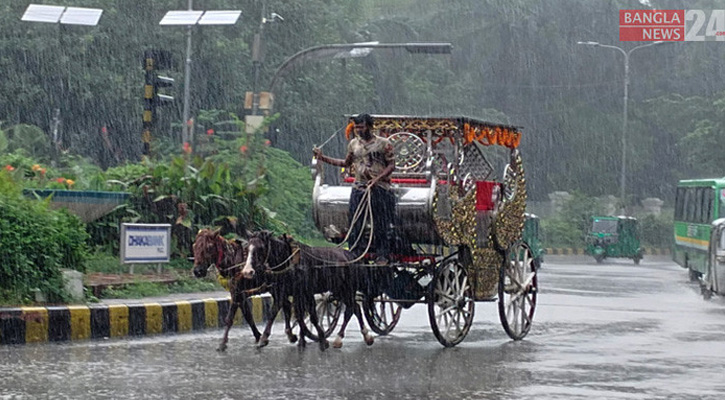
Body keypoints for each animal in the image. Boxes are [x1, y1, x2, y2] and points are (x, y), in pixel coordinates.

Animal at [242, 231, 374, 350]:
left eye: (261, 248)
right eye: (247, 248)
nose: (247, 271)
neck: (289, 261)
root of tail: (352, 256)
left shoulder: (306, 292)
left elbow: (312, 316)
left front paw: (322, 340)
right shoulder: (283, 292)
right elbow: (279, 313)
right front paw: (264, 339)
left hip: (348, 289)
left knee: (351, 310)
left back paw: (343, 338)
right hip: (339, 290)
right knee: (355, 308)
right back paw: (360, 337)